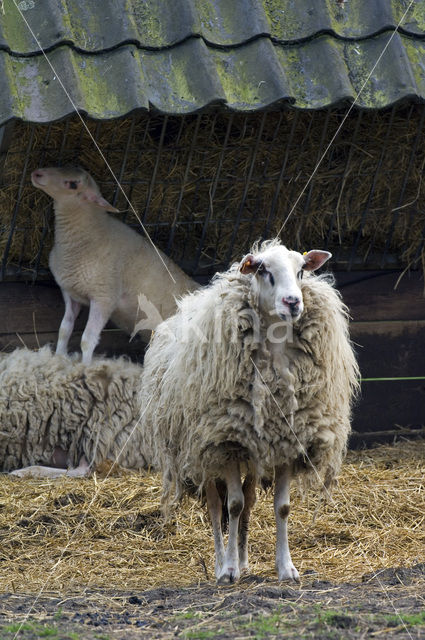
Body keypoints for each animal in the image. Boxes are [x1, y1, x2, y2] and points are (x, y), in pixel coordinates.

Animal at [31, 166, 197, 364]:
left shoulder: (104, 297)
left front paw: (84, 366)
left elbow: (88, 339)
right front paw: (59, 357)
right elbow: (65, 329)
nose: (37, 173)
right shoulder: (71, 293)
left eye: (72, 184)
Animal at [139, 240, 358, 584]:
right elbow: (233, 506)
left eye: (301, 270)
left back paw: (243, 561)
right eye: (262, 269)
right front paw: (228, 570)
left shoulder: (287, 442)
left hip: (253, 453)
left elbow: (281, 507)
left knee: (250, 499)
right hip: (204, 453)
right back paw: (221, 563)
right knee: (218, 506)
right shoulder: (227, 442)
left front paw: (286, 568)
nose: (293, 302)